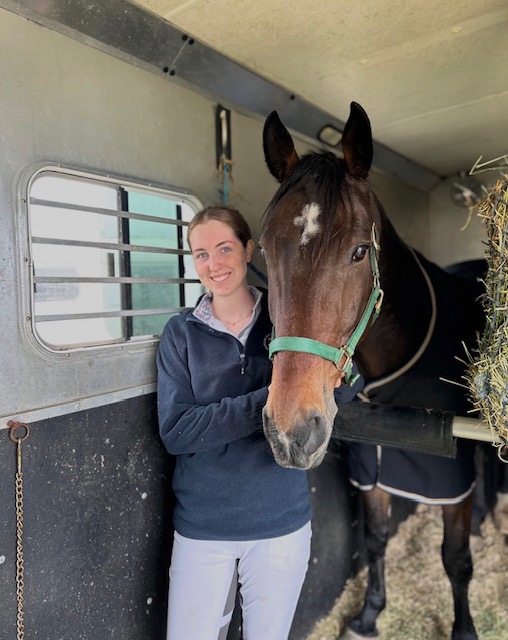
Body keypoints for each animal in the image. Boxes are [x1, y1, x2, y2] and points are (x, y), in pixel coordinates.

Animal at [259, 102, 485, 640]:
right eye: (264, 249)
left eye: (360, 251)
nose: (290, 431)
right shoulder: (371, 468)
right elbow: (377, 537)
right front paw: (368, 614)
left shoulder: (454, 480)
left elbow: (456, 558)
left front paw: (464, 629)